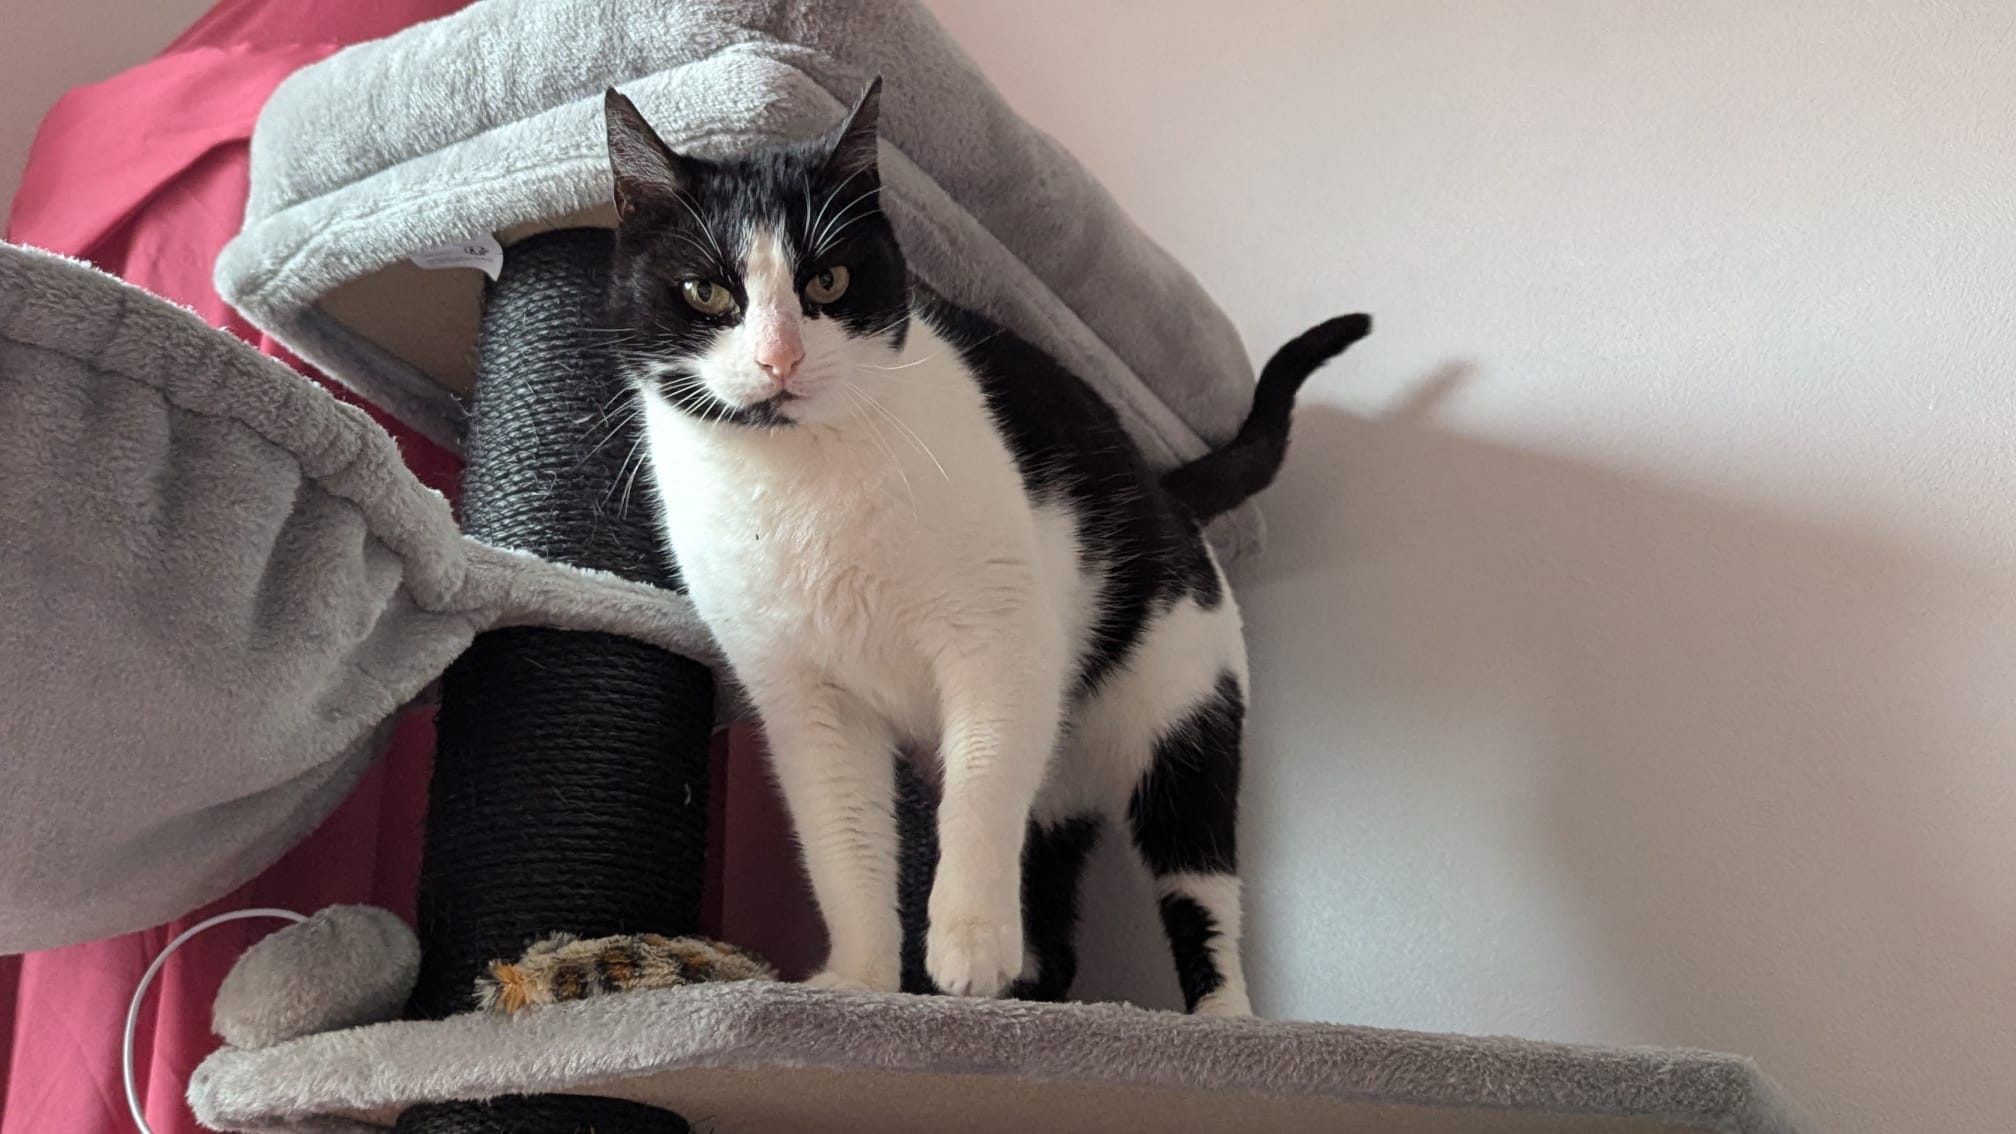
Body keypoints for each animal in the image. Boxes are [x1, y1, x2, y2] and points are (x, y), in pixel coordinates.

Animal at [603, 78, 1369, 1015]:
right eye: (707, 293)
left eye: (829, 279)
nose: (781, 359)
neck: (801, 477)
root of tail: (1163, 486)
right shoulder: (805, 699)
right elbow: (841, 839)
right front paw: (860, 981)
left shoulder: (997, 638)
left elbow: (978, 790)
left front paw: (967, 949)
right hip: (1063, 785)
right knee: (1057, 908)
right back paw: (1035, 995)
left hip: (1185, 714)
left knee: (1201, 890)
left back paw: (1220, 1019)